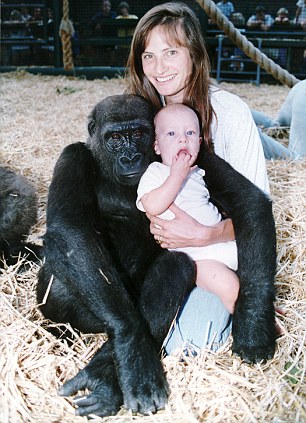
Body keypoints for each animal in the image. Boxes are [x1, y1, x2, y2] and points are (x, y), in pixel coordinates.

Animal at [36, 95, 278, 418]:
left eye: (139, 133)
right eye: (115, 138)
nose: (129, 157)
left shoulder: (200, 155)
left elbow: (247, 203)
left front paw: (253, 324)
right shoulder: (72, 156)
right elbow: (70, 229)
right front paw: (132, 346)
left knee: (174, 267)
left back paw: (105, 382)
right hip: (94, 321)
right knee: (62, 281)